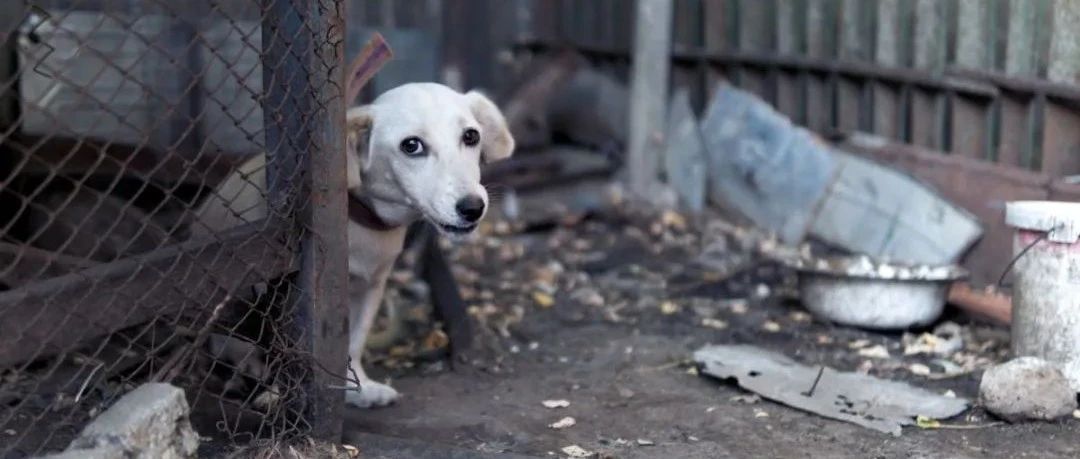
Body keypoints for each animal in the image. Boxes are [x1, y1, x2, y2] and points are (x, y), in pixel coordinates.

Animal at [194, 83, 514, 408]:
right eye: (411, 145)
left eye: (471, 136)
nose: (473, 207)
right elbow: (281, 347)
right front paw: (279, 394)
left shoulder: (370, 287)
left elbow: (353, 342)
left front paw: (356, 388)